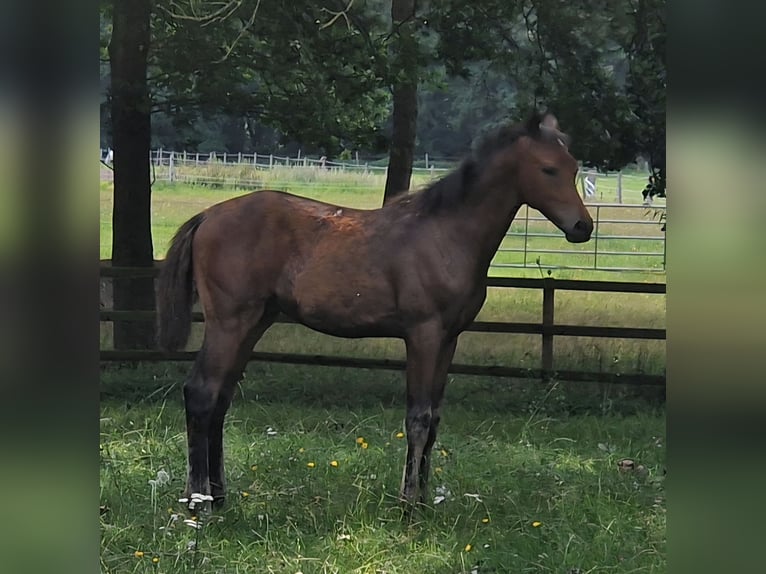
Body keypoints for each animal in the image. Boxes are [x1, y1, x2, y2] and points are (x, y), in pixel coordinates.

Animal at [157, 111, 593, 507]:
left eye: (574, 168)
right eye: (548, 169)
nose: (583, 227)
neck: (446, 235)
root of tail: (208, 216)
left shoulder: (449, 339)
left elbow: (434, 419)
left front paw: (423, 500)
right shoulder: (423, 334)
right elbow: (417, 418)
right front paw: (408, 505)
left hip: (254, 323)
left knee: (220, 399)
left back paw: (220, 497)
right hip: (229, 323)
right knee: (201, 393)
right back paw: (198, 501)